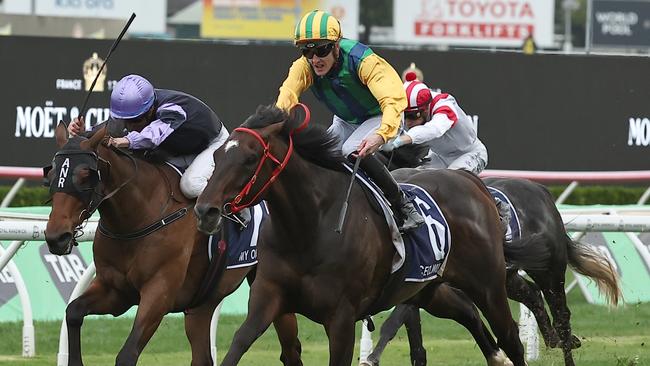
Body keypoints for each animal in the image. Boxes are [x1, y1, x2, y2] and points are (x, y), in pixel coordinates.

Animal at [43, 123, 302, 366]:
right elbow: (73, 312)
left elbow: (127, 354)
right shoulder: (116, 290)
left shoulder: (159, 292)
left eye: (85, 174)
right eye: (52, 173)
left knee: (291, 350)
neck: (138, 217)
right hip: (203, 305)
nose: (56, 237)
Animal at [192, 104, 548, 364]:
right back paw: (495, 356)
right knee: (468, 313)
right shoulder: (268, 297)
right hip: (429, 288)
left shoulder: (341, 318)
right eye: (217, 155)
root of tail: (473, 183)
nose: (205, 210)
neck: (309, 228)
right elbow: (238, 343)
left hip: (488, 284)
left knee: (511, 337)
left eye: (250, 158)